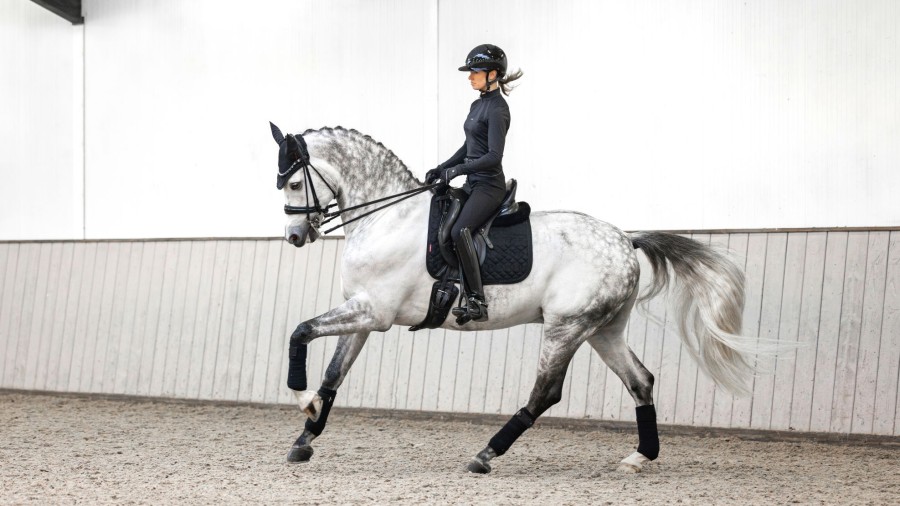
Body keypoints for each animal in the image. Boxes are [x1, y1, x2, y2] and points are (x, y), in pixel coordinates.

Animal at [266, 123, 772, 474]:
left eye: (293, 184)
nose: (294, 237)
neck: (386, 217)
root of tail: (625, 240)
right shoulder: (365, 314)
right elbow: (333, 374)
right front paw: (305, 436)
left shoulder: (374, 312)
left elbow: (300, 332)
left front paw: (302, 400)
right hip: (603, 330)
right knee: (641, 381)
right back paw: (640, 457)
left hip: (566, 327)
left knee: (546, 391)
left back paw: (486, 454)